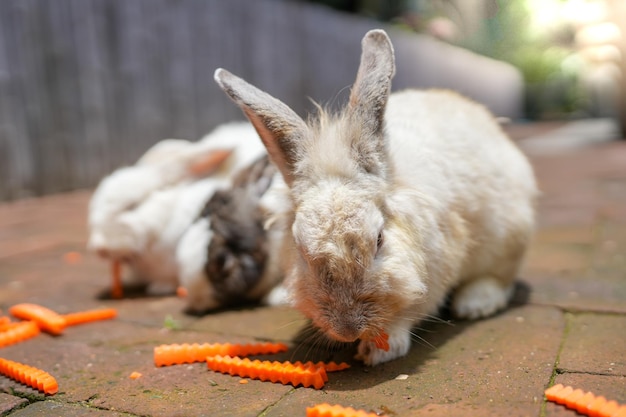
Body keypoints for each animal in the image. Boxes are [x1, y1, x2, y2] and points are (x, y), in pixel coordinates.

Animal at [213, 29, 536, 364]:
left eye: (379, 239)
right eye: (300, 248)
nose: (347, 329)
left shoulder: (436, 270)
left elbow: (412, 310)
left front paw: (379, 350)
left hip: (509, 236)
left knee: (501, 278)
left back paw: (475, 304)